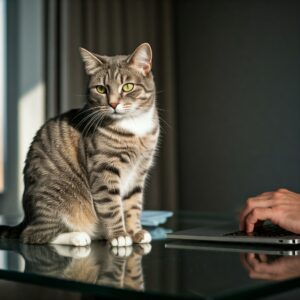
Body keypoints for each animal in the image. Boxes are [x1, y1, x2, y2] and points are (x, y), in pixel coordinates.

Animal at [0, 43, 159, 247]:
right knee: (33, 235)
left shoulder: (139, 171)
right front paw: (119, 235)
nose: (113, 104)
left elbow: (132, 204)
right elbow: (112, 206)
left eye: (128, 87)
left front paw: (135, 232)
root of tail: (26, 218)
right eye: (101, 89)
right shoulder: (103, 168)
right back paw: (77, 236)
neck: (133, 127)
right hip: (55, 196)